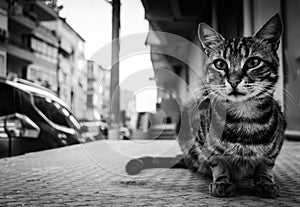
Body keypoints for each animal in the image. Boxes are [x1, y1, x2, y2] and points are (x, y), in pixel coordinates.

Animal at [126, 13, 286, 198]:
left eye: (253, 62)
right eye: (220, 64)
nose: (233, 80)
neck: (245, 120)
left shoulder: (277, 140)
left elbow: (266, 163)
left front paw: (265, 182)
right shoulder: (202, 135)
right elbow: (217, 161)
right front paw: (222, 181)